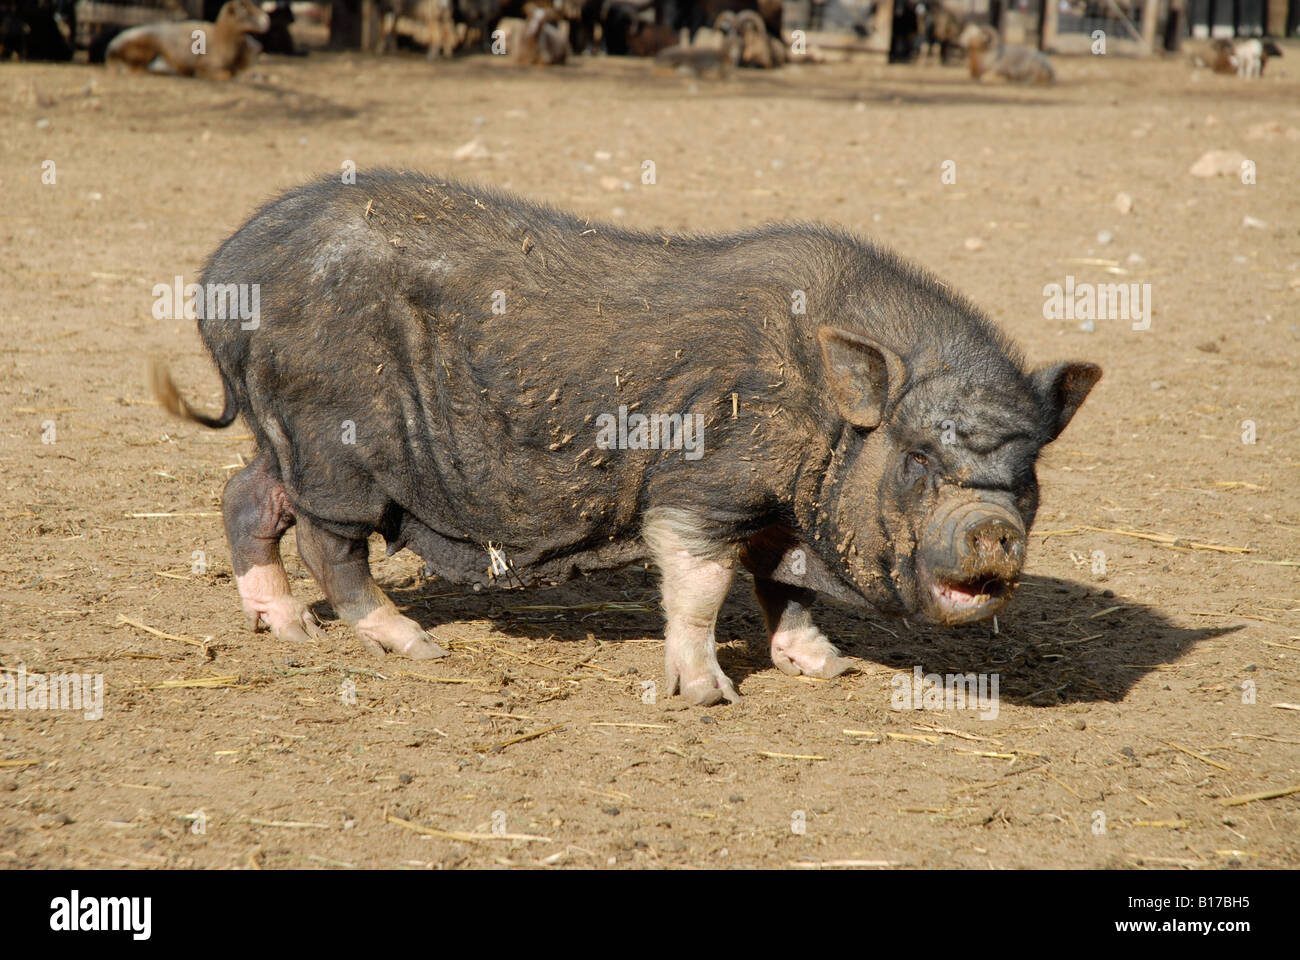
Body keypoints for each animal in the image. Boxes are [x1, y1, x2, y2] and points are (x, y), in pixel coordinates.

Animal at [152, 174, 1097, 702]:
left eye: (1028, 472)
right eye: (919, 459)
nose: (994, 530)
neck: (828, 418)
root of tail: (223, 275)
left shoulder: (779, 506)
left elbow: (784, 587)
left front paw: (827, 669)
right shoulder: (704, 483)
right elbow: (701, 585)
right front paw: (708, 696)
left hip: (289, 438)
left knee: (246, 497)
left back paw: (287, 631)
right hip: (337, 443)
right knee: (328, 544)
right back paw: (412, 643)